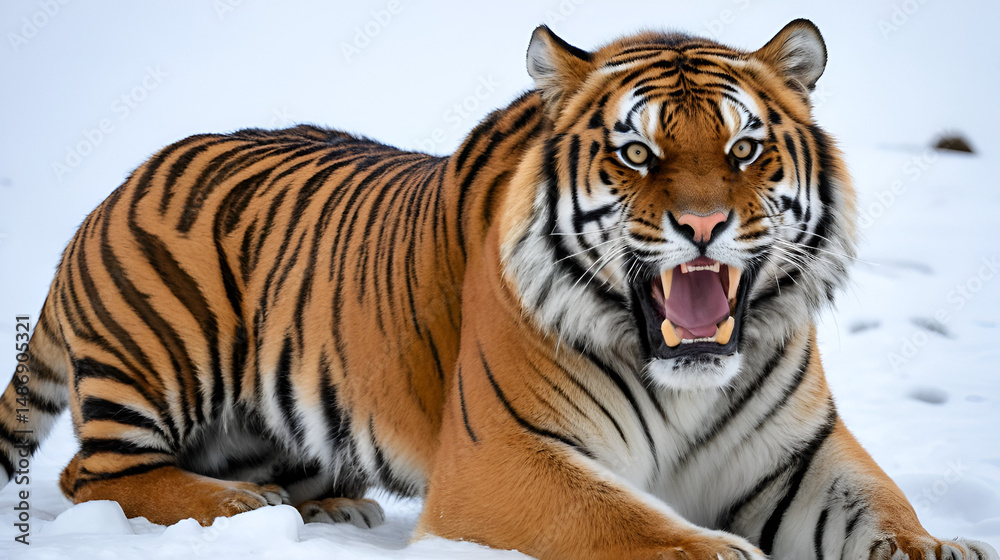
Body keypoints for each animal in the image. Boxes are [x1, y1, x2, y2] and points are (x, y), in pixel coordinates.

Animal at [0, 17, 996, 560]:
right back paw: (234, 507)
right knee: (97, 473)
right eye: (639, 154)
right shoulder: (508, 457)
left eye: (745, 148)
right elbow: (628, 523)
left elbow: (887, 512)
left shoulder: (799, 456)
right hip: (169, 348)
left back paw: (327, 504)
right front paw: (721, 549)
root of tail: (120, 184)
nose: (704, 225)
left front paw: (943, 546)